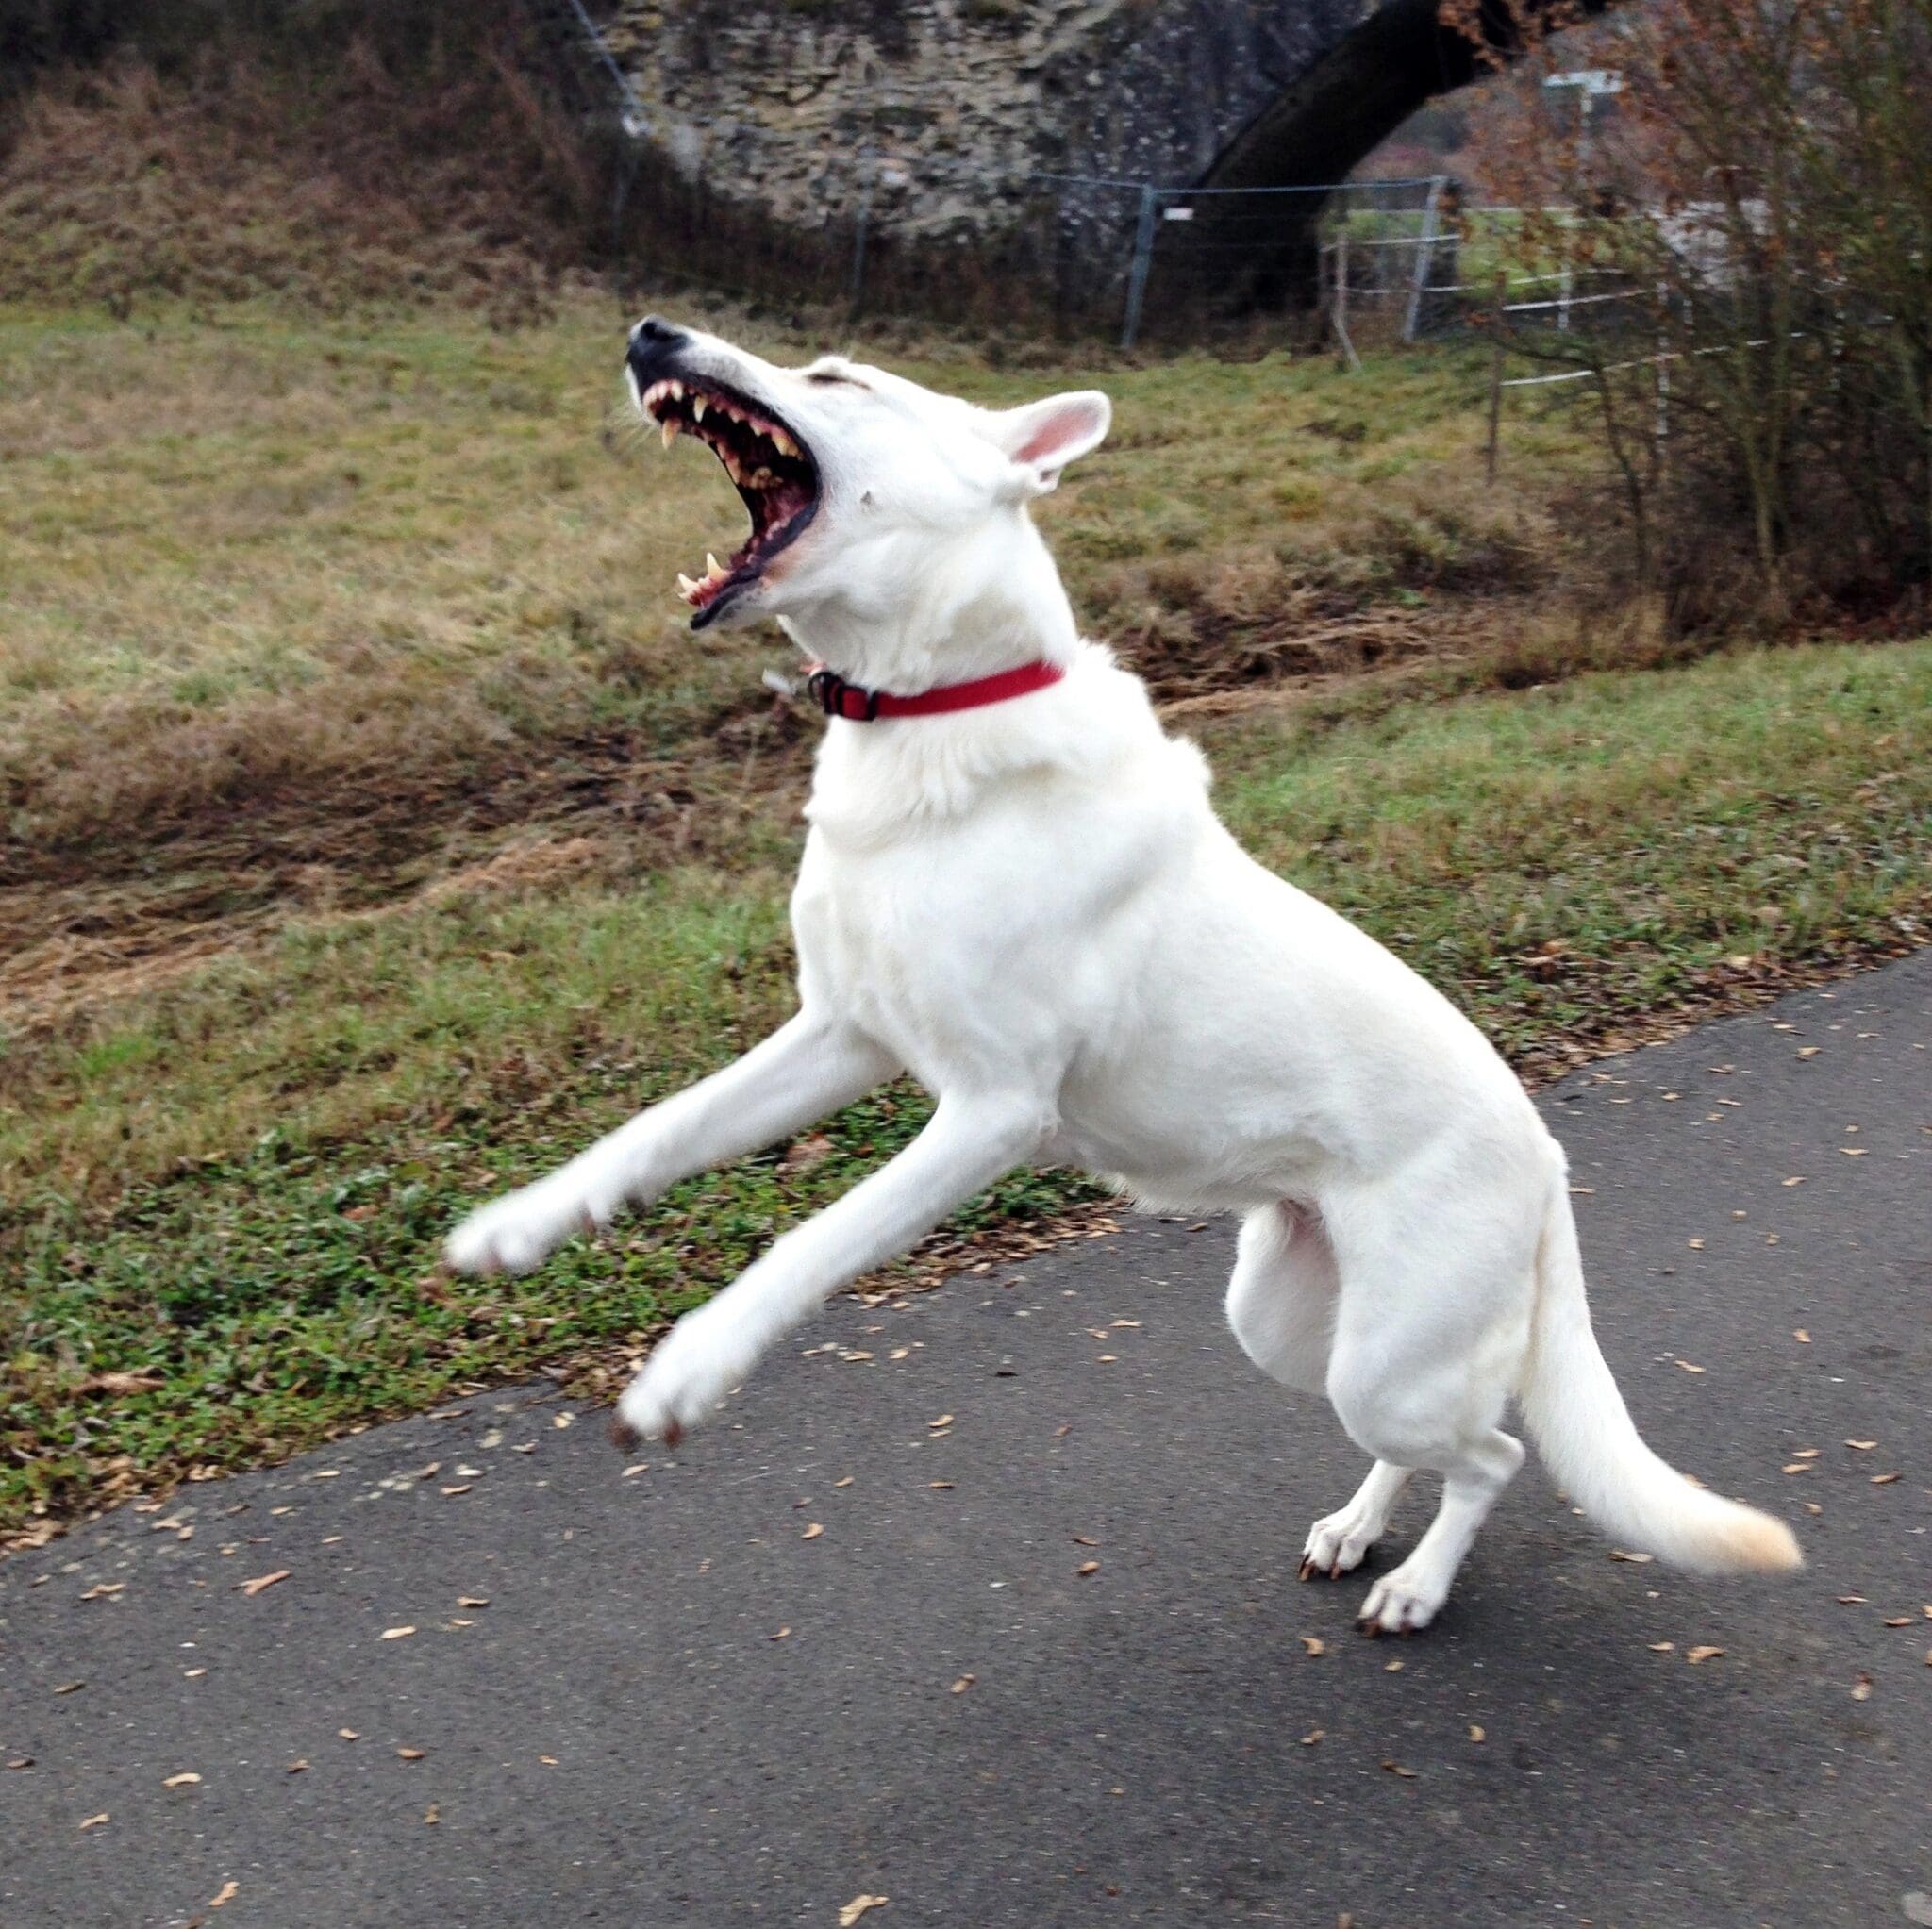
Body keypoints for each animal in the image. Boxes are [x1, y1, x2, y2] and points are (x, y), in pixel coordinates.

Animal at [444, 316, 1800, 1629]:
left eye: (834, 375)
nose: (649, 333)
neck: (934, 715)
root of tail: (1545, 1157)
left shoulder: (989, 1111)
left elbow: (807, 1243)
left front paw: (687, 1367)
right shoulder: (839, 1034)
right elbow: (654, 1131)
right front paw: (518, 1224)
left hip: (1388, 1353)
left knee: (1495, 1455)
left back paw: (1416, 1583)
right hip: (1293, 1326)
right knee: (1434, 1441)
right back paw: (1360, 1529)